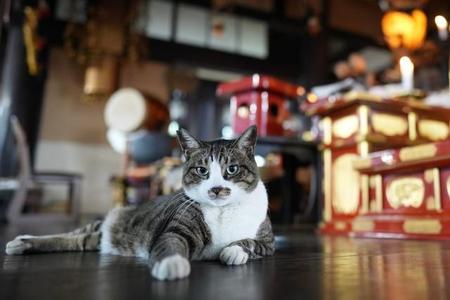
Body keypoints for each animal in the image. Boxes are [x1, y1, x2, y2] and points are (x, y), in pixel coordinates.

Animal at [4, 125, 274, 280]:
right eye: (202, 171)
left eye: (232, 169)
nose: (217, 189)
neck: (222, 211)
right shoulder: (176, 229)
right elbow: (170, 243)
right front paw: (172, 265)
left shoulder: (268, 242)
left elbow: (250, 243)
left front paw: (233, 251)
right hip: (103, 224)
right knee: (71, 234)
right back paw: (21, 241)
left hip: (95, 238)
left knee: (78, 241)